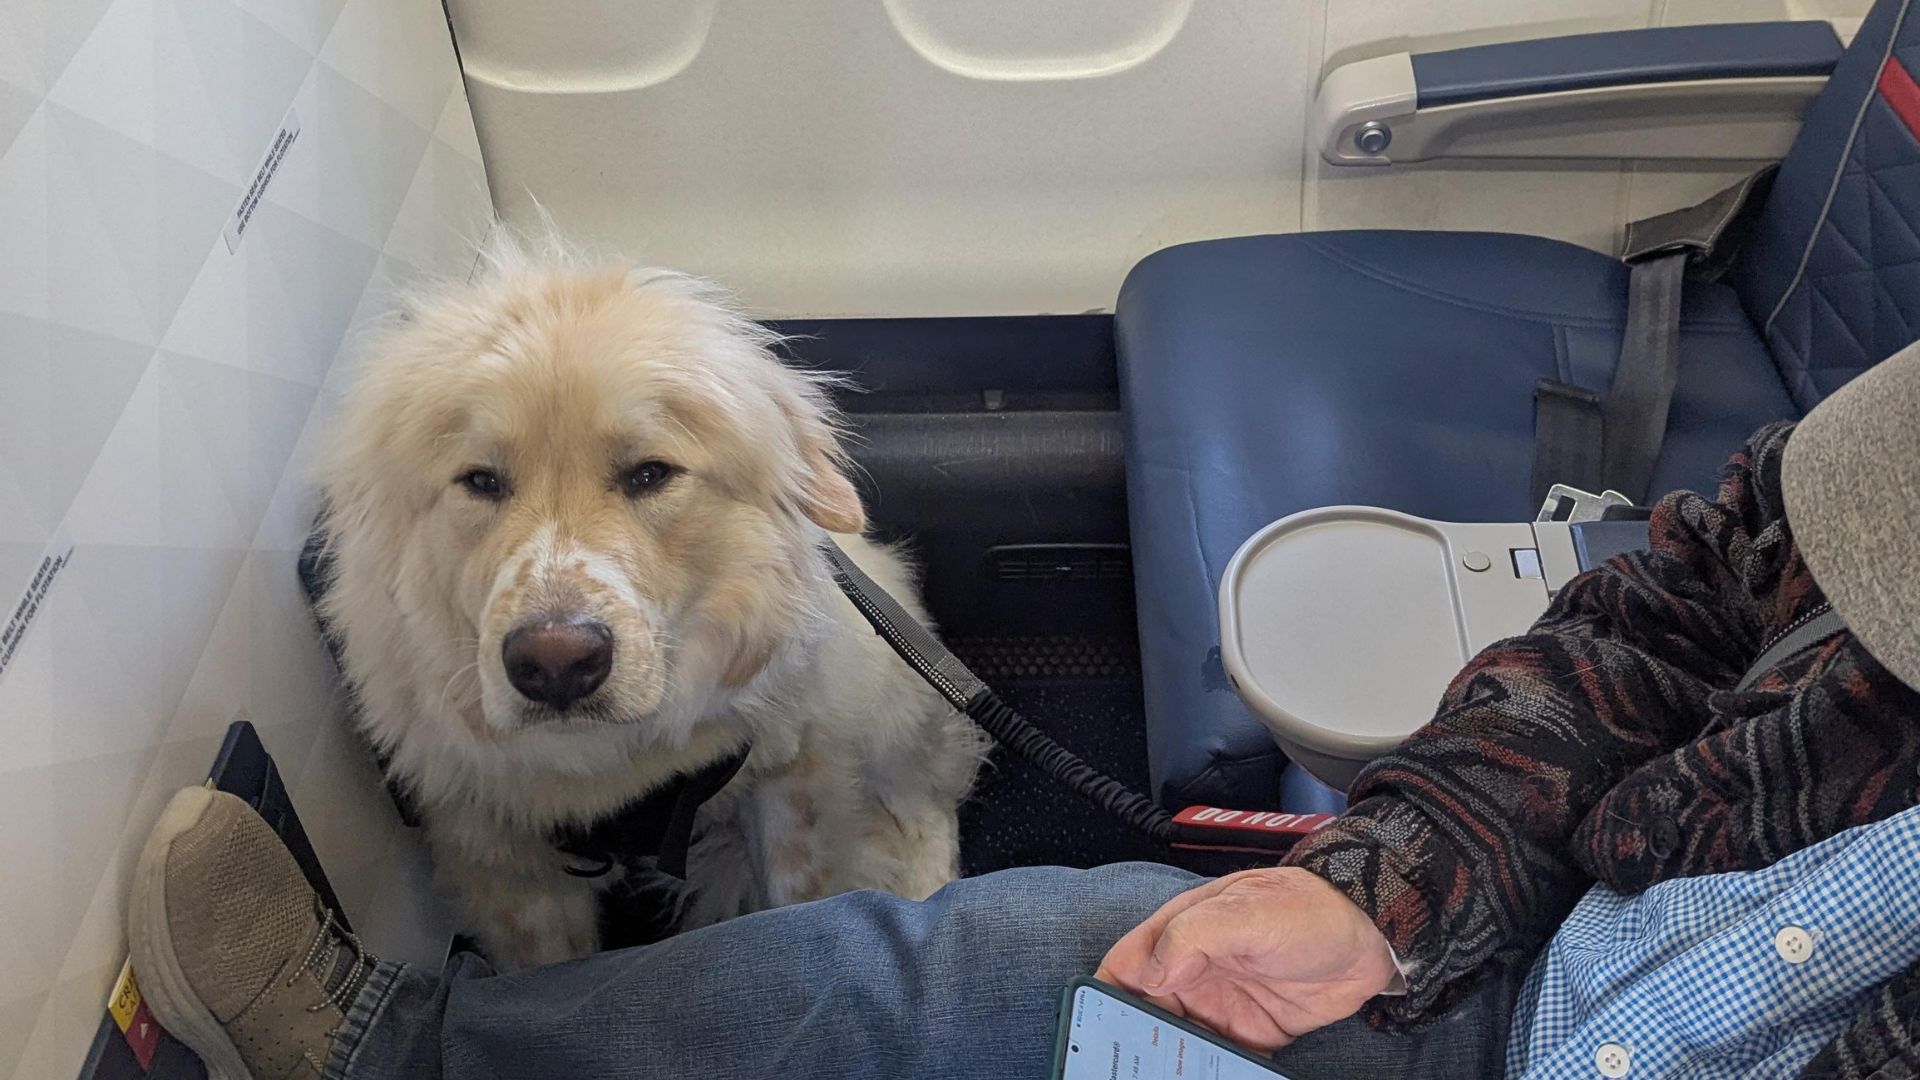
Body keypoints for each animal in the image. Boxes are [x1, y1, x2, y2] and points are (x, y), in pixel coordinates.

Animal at [316, 235, 983, 968]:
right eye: (481, 481)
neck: (619, 768)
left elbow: (798, 895)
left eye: (650, 474)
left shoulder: (792, 774)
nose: (555, 664)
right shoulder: (501, 857)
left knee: (925, 801)